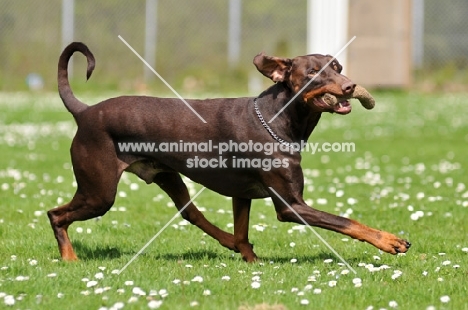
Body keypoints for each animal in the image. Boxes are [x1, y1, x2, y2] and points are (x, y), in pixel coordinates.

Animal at [49, 41, 412, 262]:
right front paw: (390, 240)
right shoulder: (291, 206)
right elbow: (346, 221)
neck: (278, 120)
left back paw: (230, 243)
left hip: (167, 176)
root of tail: (84, 111)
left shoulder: (243, 194)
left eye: (337, 66)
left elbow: (242, 227)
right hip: (100, 192)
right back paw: (69, 258)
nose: (351, 86)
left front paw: (250, 258)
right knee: (56, 214)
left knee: (191, 213)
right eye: (313, 73)